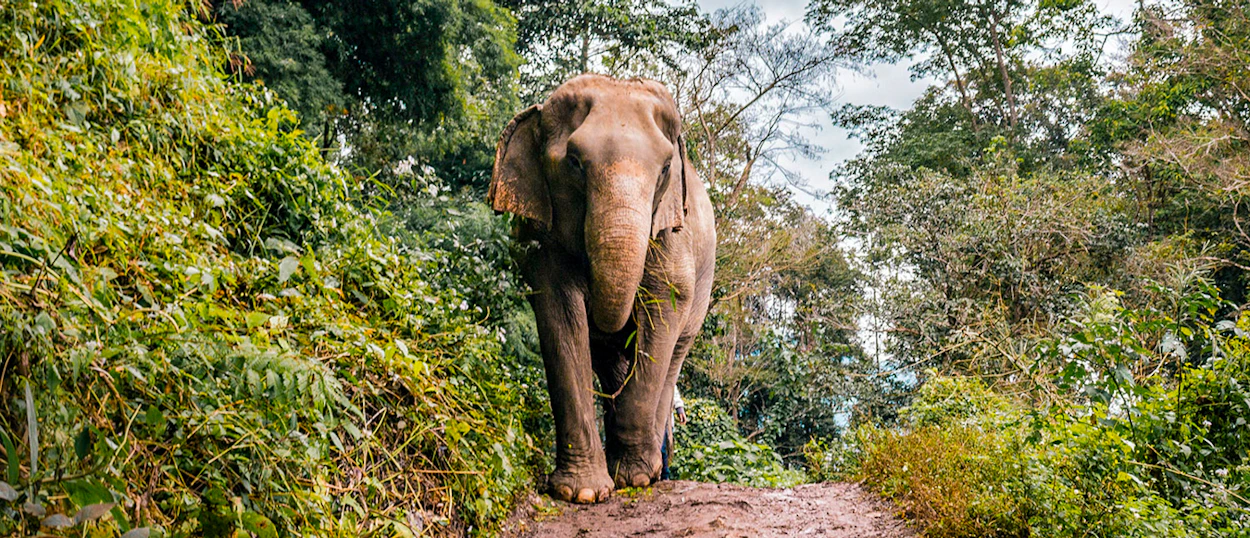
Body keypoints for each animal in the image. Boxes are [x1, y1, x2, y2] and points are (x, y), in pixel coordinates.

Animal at [488, 74, 716, 504]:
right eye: (574, 163)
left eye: (665, 168)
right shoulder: (543, 241)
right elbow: (560, 314)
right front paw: (582, 493)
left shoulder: (670, 234)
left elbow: (663, 307)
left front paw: (635, 479)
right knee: (611, 363)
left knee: (673, 354)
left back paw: (650, 470)